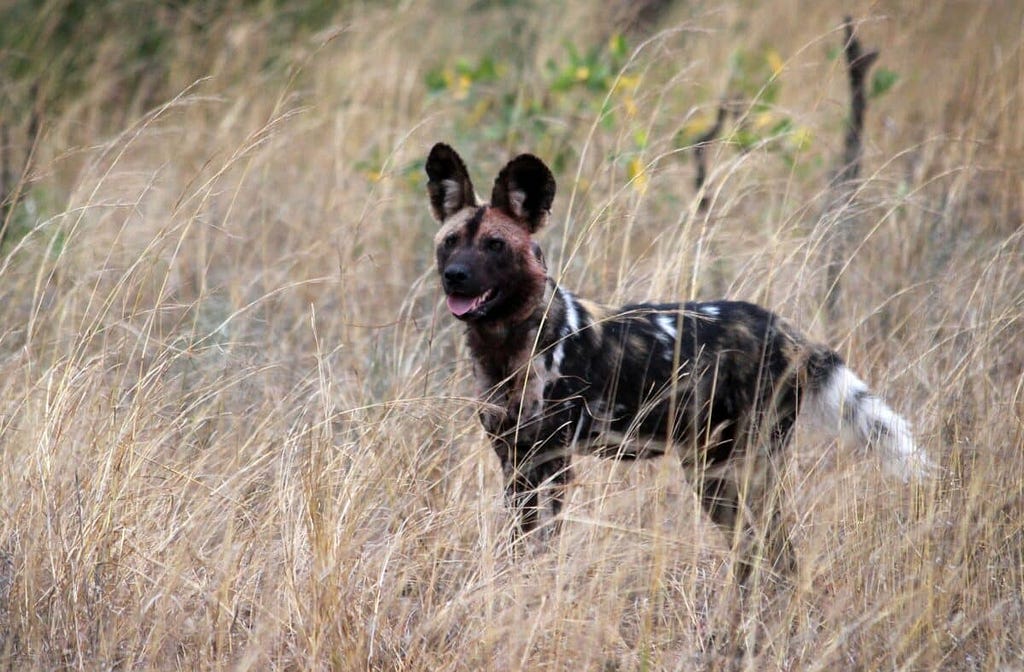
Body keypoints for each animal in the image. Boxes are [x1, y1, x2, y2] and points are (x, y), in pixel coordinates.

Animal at [428, 141, 933, 577]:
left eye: (495, 245)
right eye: (450, 242)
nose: (455, 276)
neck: (506, 345)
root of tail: (789, 332)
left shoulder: (552, 462)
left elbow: (540, 548)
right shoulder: (514, 460)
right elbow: (519, 544)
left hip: (739, 469)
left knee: (779, 555)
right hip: (712, 473)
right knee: (758, 555)